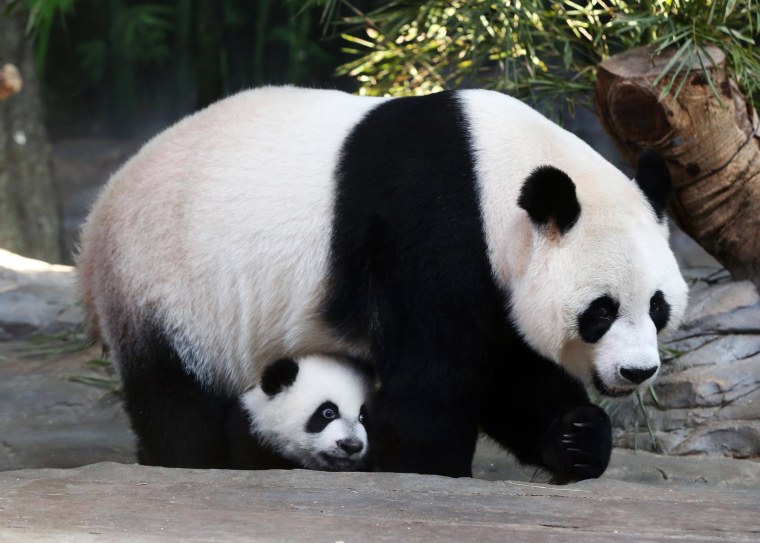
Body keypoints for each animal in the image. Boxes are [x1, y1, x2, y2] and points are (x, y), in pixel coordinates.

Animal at [78, 86, 688, 484]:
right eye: (600, 311)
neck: (493, 175)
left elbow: (511, 373)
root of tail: (99, 214)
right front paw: (429, 471)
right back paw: (191, 463)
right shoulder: (428, 234)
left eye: (658, 308)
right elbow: (432, 380)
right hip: (168, 284)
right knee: (176, 396)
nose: (637, 372)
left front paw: (578, 438)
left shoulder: (495, 281)